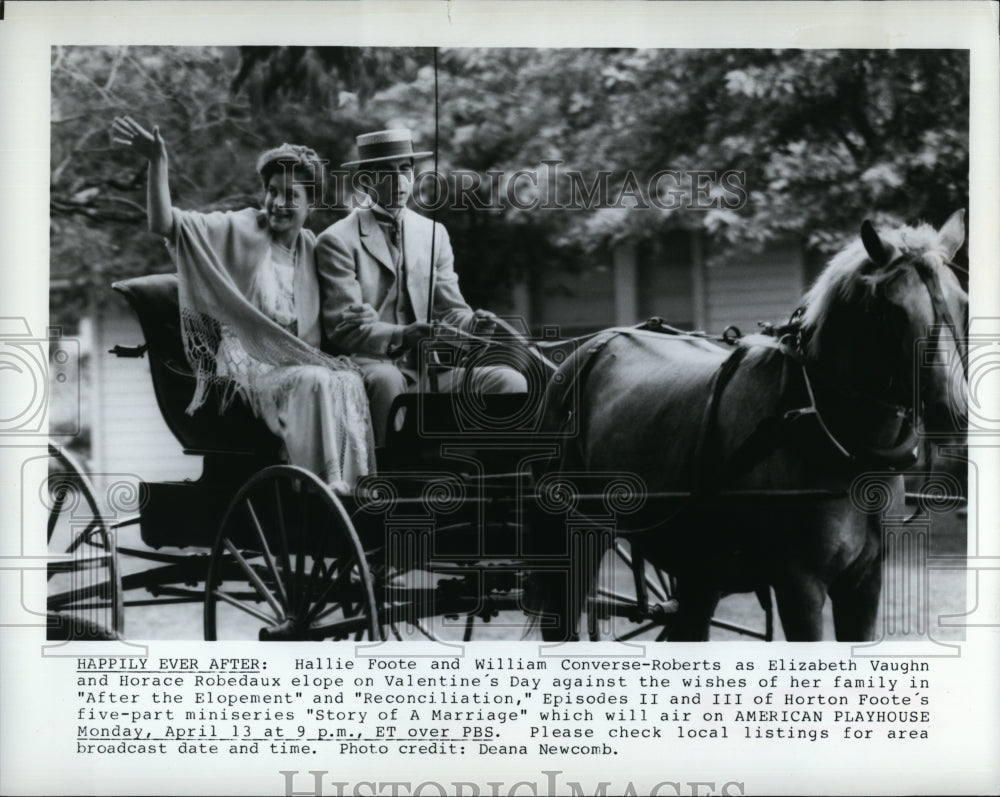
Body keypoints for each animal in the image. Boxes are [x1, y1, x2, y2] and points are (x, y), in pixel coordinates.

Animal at [532, 210, 968, 640]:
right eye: (890, 310)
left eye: (962, 302)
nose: (954, 409)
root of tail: (590, 347)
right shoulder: (799, 585)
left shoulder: (864, 583)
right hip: (573, 538)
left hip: (697, 567)